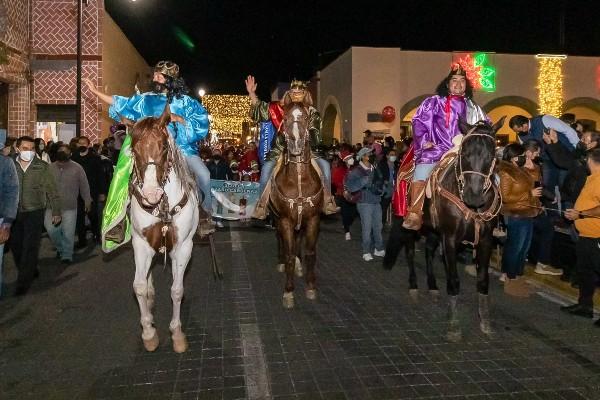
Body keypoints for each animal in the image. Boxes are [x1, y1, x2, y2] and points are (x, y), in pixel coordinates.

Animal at [127, 104, 198, 354]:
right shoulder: (141, 244)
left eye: (165, 146)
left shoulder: (183, 247)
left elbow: (177, 290)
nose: (151, 194)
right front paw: (149, 333)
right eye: (133, 148)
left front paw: (177, 334)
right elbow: (138, 286)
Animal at [268, 97, 322, 310]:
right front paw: (289, 291)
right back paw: (281, 262)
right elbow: (290, 254)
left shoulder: (313, 219)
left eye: (306, 118)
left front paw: (311, 286)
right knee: (281, 241)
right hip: (277, 219)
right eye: (285, 118)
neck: (298, 179)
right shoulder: (285, 220)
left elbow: (310, 253)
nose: (296, 144)